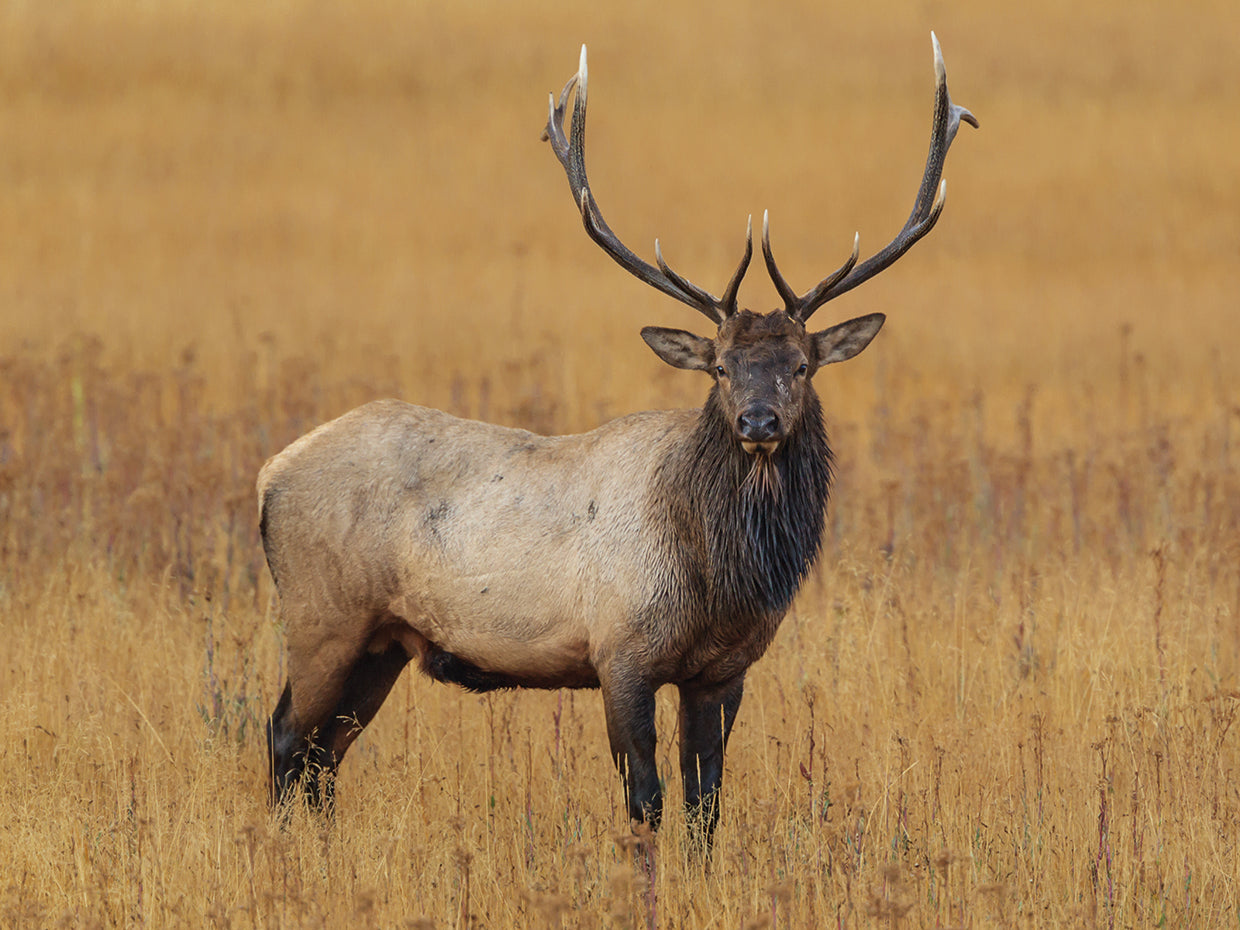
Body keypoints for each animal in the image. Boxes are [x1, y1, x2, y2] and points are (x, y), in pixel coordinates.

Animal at [260, 34, 976, 854]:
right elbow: (648, 801)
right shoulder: (620, 651)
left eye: (801, 365)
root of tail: (269, 475)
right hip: (322, 617)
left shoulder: (722, 670)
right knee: (285, 737)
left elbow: (706, 803)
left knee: (323, 756)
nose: (758, 423)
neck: (718, 579)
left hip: (381, 641)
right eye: (721, 367)